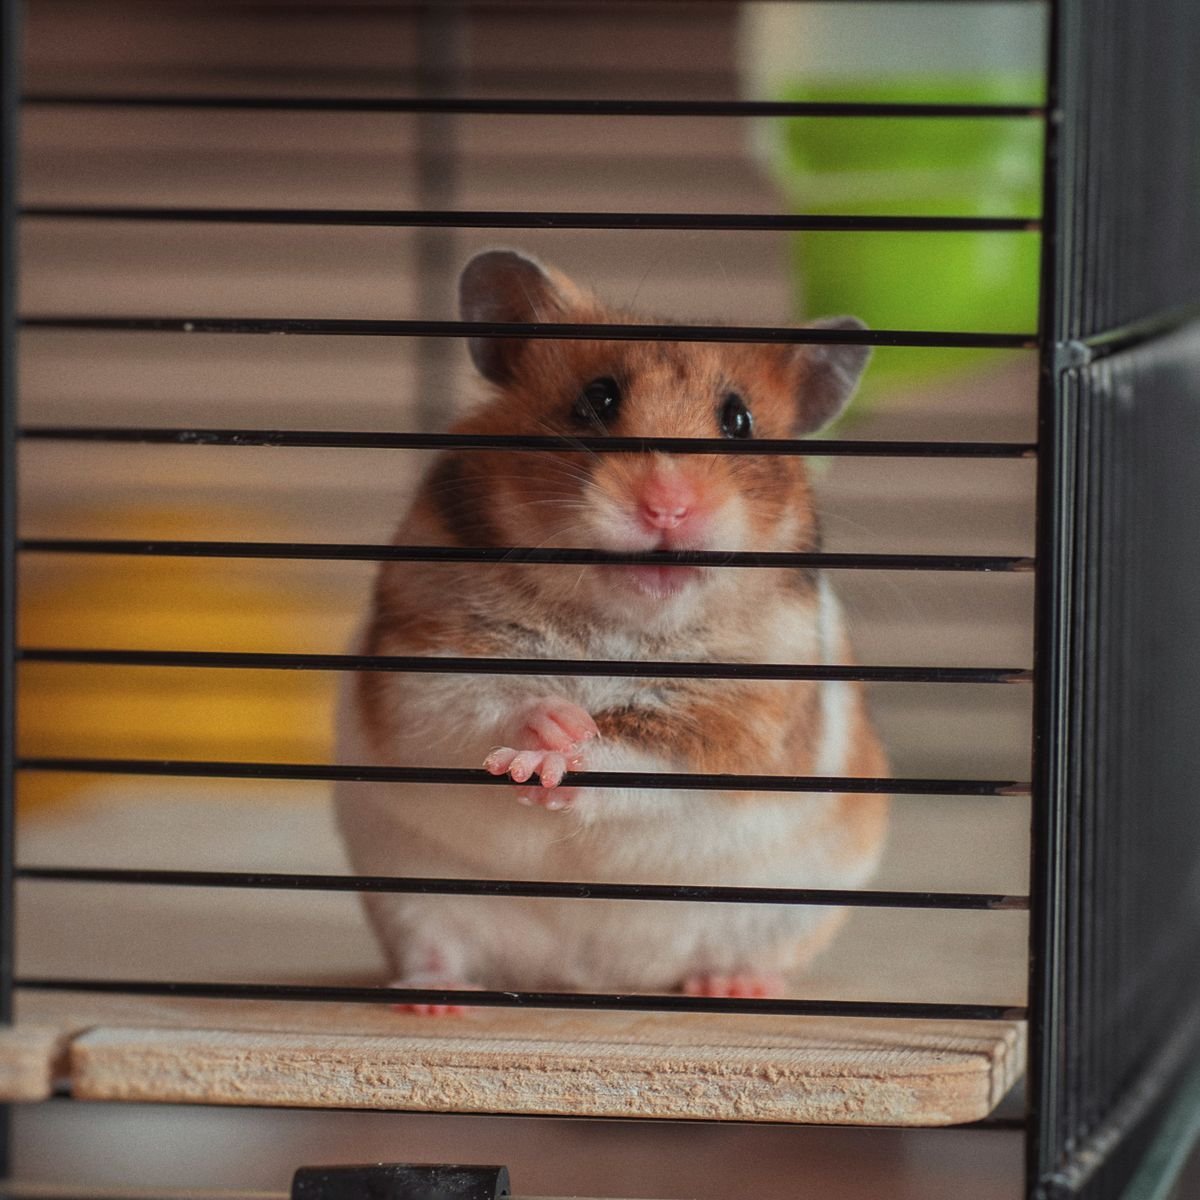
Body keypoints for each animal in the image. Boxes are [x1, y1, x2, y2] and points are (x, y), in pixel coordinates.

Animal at [334, 249, 889, 1013]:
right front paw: (543, 736)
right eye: (597, 399)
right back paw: (434, 999)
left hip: (790, 907)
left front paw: (554, 760)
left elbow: (638, 756)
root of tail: (591, 978)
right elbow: (478, 704)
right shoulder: (425, 657)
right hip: (410, 895)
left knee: (742, 953)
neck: (616, 623)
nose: (667, 508)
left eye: (738, 419)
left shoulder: (739, 715)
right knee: (436, 949)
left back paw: (733, 986)